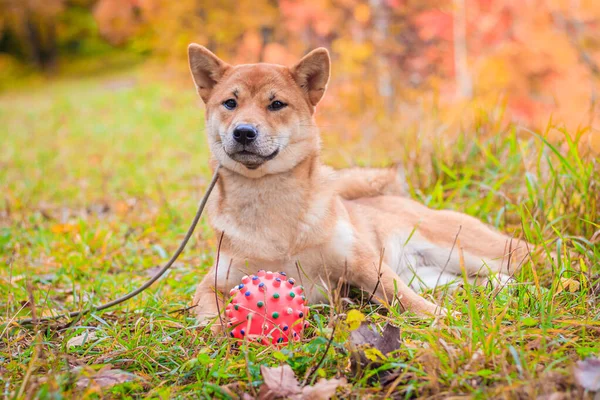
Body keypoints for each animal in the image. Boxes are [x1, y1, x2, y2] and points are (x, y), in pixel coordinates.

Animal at [189, 43, 528, 324]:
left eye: (276, 104)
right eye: (230, 103)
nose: (244, 132)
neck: (270, 202)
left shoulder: (362, 263)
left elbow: (405, 298)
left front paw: (444, 318)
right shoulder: (214, 283)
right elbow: (209, 316)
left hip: (474, 249)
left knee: (530, 254)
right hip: (436, 274)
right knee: (475, 281)